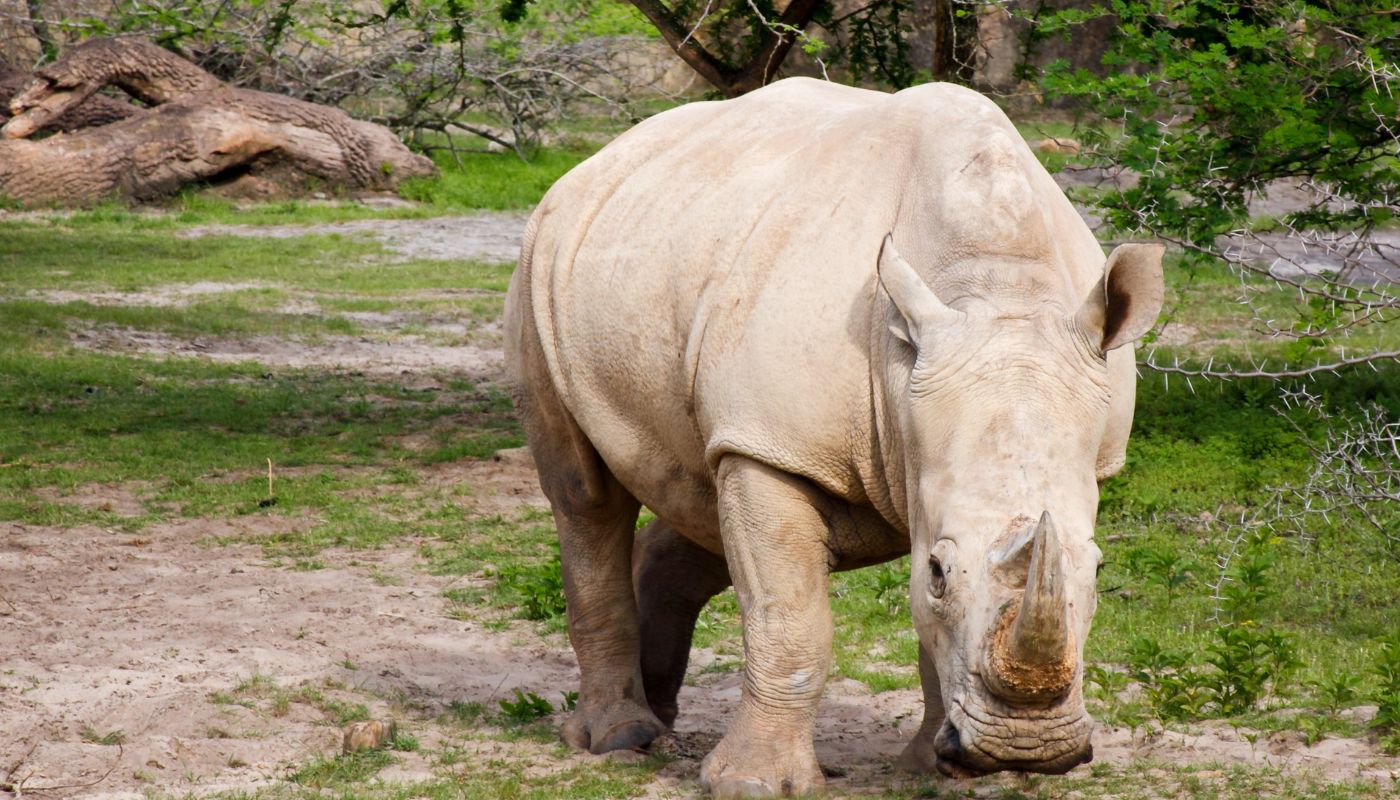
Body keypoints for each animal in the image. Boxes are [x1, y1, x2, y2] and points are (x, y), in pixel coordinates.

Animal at [503, 77, 1164, 797]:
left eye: (1098, 569)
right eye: (938, 572)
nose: (1028, 747)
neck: (996, 288)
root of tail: (602, 158)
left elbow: (924, 629)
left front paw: (933, 769)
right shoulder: (773, 444)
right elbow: (792, 618)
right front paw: (753, 784)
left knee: (699, 493)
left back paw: (658, 720)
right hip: (542, 258)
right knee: (586, 497)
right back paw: (621, 739)